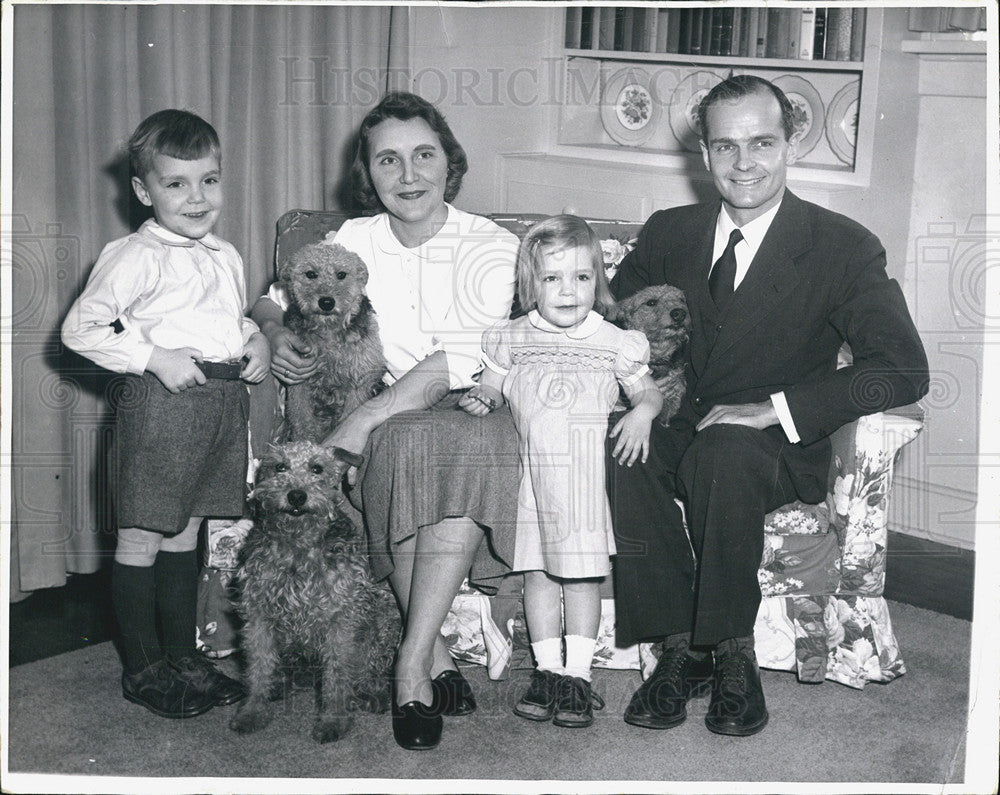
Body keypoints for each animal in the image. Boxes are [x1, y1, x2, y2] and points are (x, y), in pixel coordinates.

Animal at [229, 442, 400, 748]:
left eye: (317, 468)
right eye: (280, 466)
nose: (297, 495)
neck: (298, 544)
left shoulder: (341, 618)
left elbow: (337, 674)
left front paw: (334, 721)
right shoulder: (258, 614)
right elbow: (258, 669)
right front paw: (252, 711)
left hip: (384, 611)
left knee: (372, 667)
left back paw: (373, 692)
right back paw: (280, 684)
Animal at [286, 241, 390, 442]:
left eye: (341, 274)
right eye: (311, 273)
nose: (326, 302)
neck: (328, 332)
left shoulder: (358, 381)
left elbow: (349, 415)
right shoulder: (300, 383)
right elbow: (301, 419)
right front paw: (303, 443)